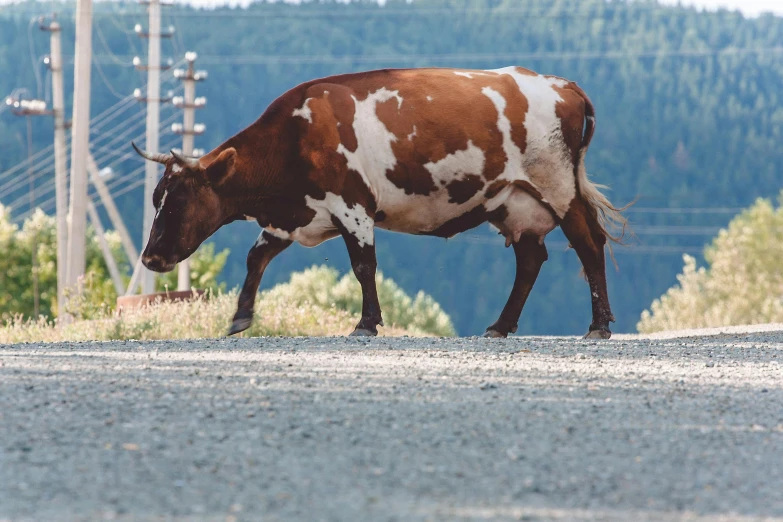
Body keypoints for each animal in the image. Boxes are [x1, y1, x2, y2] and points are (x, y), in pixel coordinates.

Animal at [133, 65, 624, 338]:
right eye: (156, 197)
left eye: (178, 201)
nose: (151, 258)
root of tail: (562, 84)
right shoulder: (295, 215)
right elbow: (257, 258)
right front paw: (239, 318)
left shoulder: (352, 205)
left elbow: (363, 265)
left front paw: (366, 323)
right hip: (513, 202)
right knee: (530, 259)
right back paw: (500, 327)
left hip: (558, 186)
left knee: (588, 244)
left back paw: (598, 325)